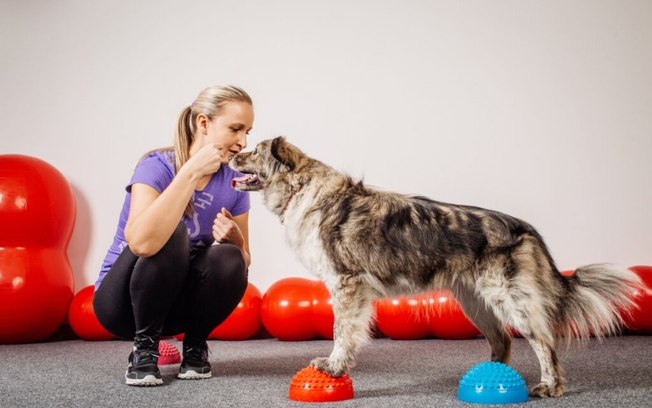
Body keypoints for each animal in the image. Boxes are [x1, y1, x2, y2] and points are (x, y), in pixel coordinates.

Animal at [229, 135, 640, 396]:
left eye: (255, 150)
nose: (232, 154)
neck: (303, 188)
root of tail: (526, 229)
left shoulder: (346, 284)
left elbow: (342, 333)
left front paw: (333, 367)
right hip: (475, 302)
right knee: (503, 340)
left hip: (510, 298)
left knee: (544, 342)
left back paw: (550, 387)